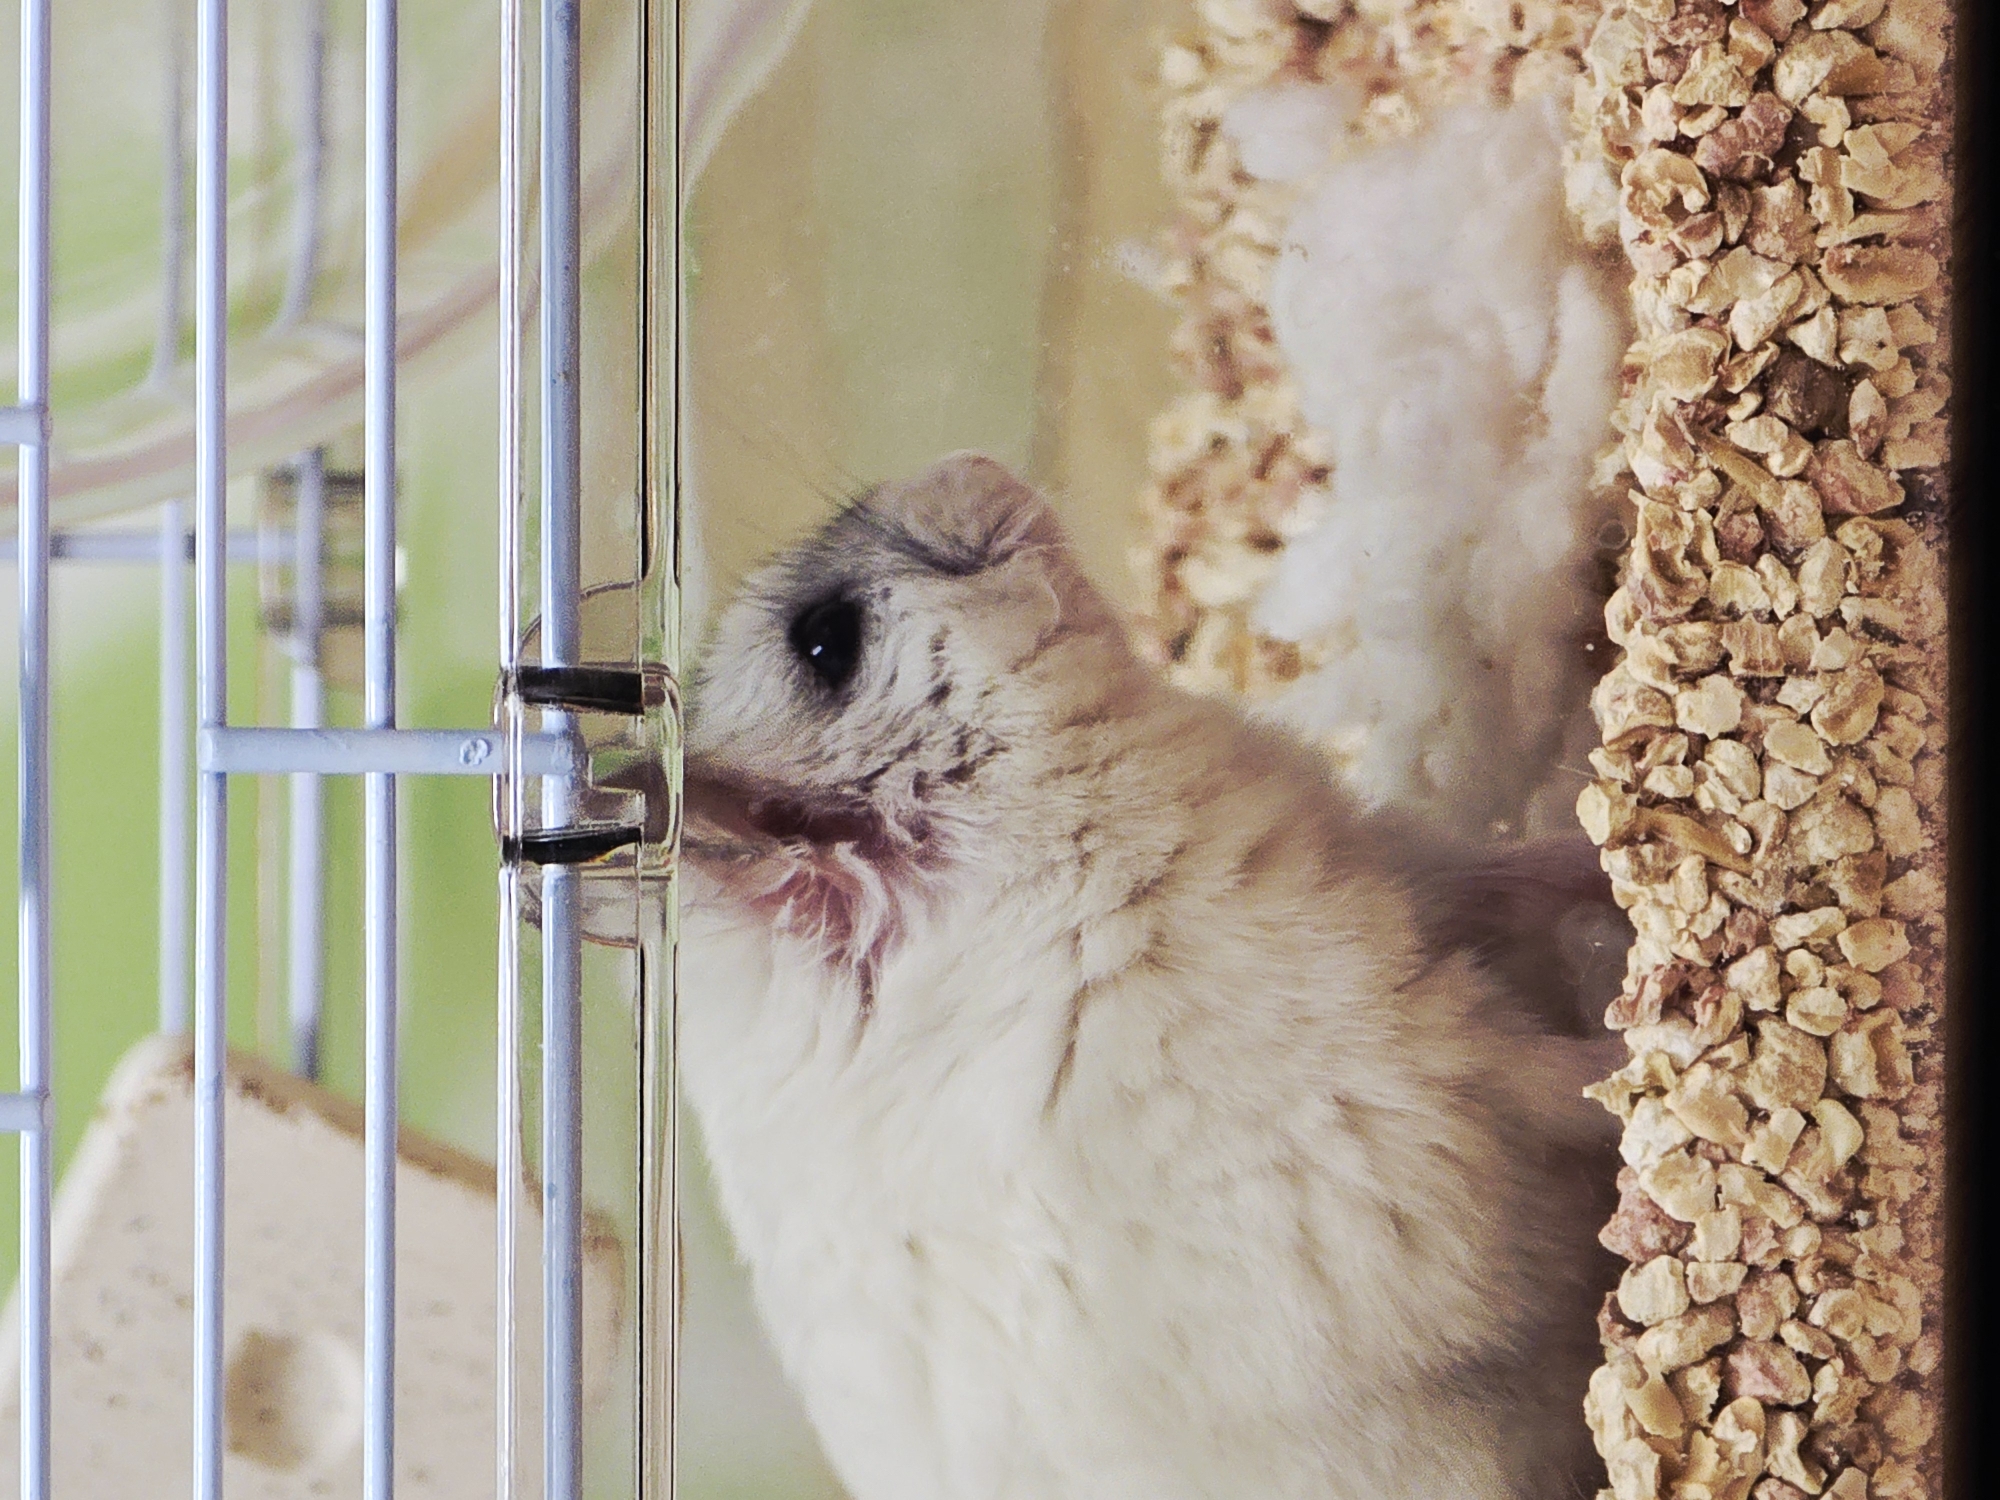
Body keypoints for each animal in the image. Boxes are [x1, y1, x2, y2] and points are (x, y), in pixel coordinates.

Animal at [678, 453, 1621, 1500]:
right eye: (825, 640)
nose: (971, 460)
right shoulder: (1430, 1049)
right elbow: (1576, 1082)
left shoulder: (1418, 882)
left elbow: (1535, 869)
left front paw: (1613, 845)